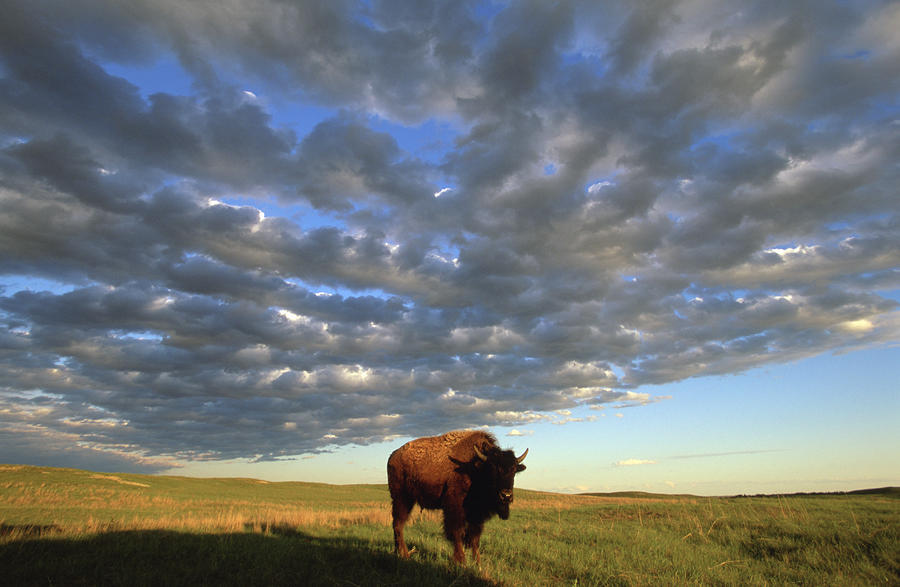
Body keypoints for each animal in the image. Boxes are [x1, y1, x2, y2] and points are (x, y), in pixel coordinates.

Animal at [386, 432, 528, 564]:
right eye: (492, 469)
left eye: (514, 470)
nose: (506, 495)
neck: (475, 467)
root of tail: (393, 456)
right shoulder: (455, 508)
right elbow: (458, 533)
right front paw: (462, 561)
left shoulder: (476, 515)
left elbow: (474, 537)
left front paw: (477, 563)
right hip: (401, 499)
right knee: (398, 524)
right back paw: (405, 554)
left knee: (397, 524)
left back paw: (398, 552)